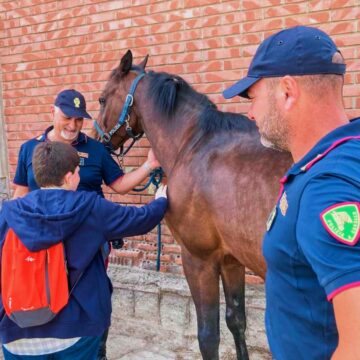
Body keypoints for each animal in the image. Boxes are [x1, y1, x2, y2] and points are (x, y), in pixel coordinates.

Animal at [95, 51, 292, 360]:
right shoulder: (231, 259)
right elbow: (237, 321)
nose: (96, 140)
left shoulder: (199, 259)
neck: (195, 145)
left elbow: (208, 336)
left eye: (103, 99)